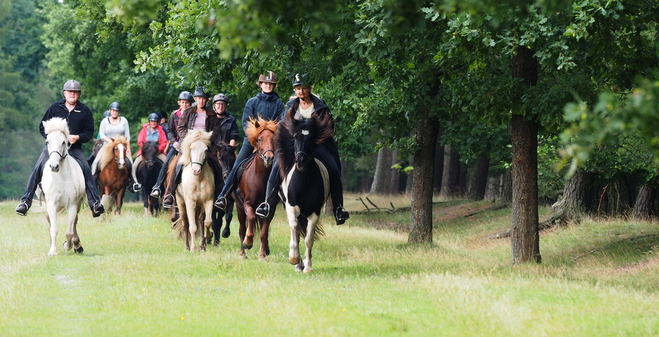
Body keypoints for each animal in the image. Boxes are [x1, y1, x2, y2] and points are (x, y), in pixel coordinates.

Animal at [40, 117, 85, 255]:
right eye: (47, 142)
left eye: (64, 142)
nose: (54, 166)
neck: (60, 178)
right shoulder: (51, 204)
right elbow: (53, 229)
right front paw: (52, 251)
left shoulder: (72, 204)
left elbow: (69, 231)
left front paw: (68, 245)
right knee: (50, 223)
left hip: (77, 205)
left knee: (75, 222)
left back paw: (77, 245)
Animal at [232, 116, 278, 260]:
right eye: (259, 139)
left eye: (274, 139)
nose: (269, 158)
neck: (260, 178)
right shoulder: (247, 204)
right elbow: (251, 218)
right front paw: (248, 242)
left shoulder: (270, 208)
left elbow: (264, 233)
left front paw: (262, 255)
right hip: (239, 208)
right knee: (242, 228)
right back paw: (242, 252)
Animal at [276, 111, 336, 272]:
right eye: (295, 136)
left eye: (312, 138)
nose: (301, 160)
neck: (304, 181)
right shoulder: (291, 207)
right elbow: (294, 229)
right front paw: (294, 258)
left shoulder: (314, 212)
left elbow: (309, 239)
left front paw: (308, 266)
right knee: (296, 231)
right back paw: (297, 263)